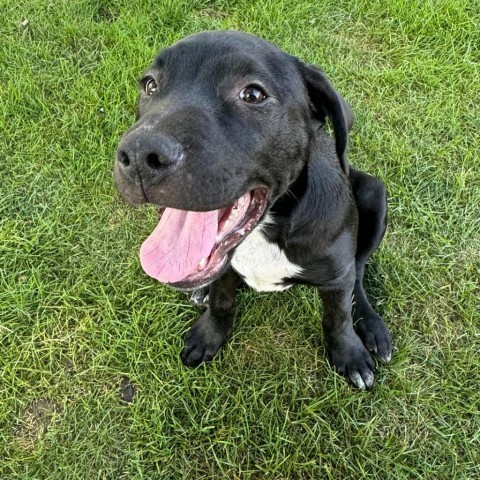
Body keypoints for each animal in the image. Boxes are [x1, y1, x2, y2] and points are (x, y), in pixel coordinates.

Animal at [114, 31, 392, 390]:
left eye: (253, 94)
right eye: (150, 85)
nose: (138, 156)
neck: (268, 228)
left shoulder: (337, 276)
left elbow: (338, 316)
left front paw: (349, 354)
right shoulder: (224, 270)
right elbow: (222, 301)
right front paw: (209, 334)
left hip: (375, 194)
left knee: (358, 270)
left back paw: (371, 326)